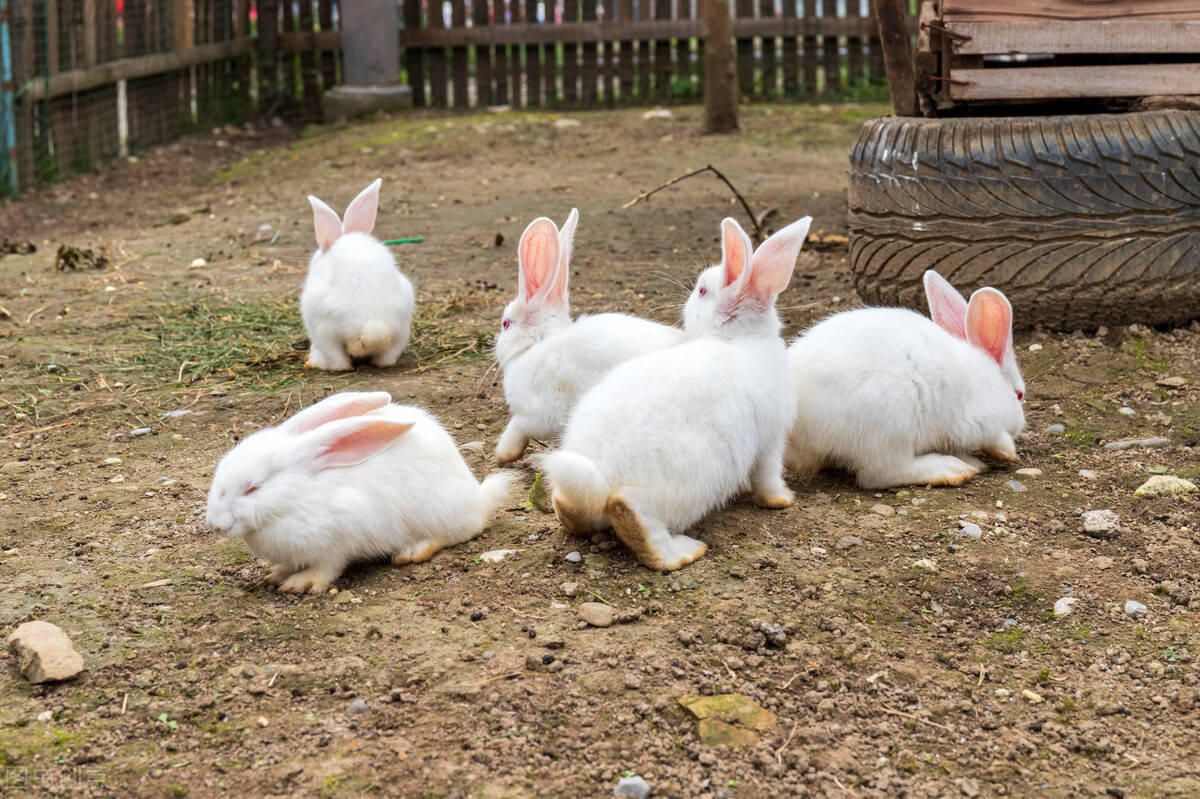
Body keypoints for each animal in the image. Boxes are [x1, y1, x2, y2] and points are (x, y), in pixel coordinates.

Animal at [206, 388, 516, 595]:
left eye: (252, 488)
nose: (215, 525)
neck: (295, 497)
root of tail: (478, 498)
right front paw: (276, 575)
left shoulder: (340, 536)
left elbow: (327, 567)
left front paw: (301, 583)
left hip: (436, 512)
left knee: (460, 532)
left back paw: (412, 551)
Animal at [302, 177, 415, 369]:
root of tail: (370, 325)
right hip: (402, 328)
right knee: (387, 358)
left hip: (323, 328)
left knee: (339, 363)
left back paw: (314, 361)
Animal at [494, 208, 686, 463]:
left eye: (505, 324)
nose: (496, 347)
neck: (536, 346)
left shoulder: (536, 413)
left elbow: (517, 428)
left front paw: (503, 454)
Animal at [537, 214, 811, 568]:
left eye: (702, 290)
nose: (687, 301)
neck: (737, 339)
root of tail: (600, 482)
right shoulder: (771, 441)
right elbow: (768, 476)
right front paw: (781, 500)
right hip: (684, 486)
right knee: (634, 514)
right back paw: (680, 552)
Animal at [782, 271, 1027, 489]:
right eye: (1019, 394)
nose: (1019, 426)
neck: (990, 380)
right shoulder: (977, 420)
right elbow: (994, 437)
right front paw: (1008, 451)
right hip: (888, 429)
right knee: (881, 474)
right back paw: (951, 469)